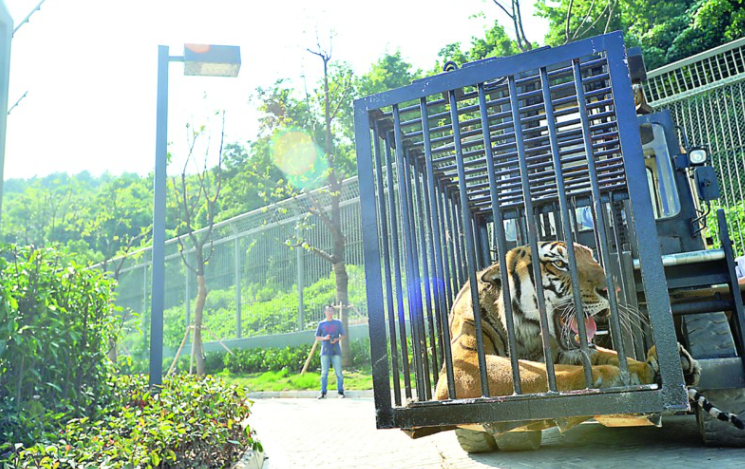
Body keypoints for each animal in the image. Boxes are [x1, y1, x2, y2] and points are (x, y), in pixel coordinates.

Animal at [434, 241, 700, 398]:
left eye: (593, 259)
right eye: (560, 263)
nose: (612, 290)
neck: (527, 338)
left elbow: (609, 355)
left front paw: (654, 367)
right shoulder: (465, 363)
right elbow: (540, 375)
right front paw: (606, 375)